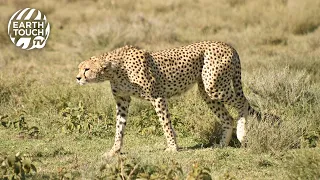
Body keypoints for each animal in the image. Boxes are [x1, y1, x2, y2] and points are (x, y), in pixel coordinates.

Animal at [76, 41, 262, 158]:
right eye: (79, 68)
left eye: (86, 69)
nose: (77, 78)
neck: (114, 70)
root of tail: (227, 45)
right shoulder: (122, 101)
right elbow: (119, 128)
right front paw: (114, 151)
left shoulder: (157, 96)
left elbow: (165, 124)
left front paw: (172, 147)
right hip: (207, 91)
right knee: (228, 117)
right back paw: (222, 144)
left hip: (214, 87)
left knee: (243, 103)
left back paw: (242, 132)